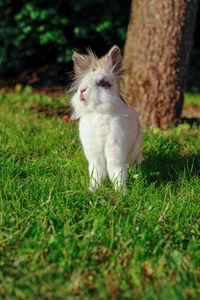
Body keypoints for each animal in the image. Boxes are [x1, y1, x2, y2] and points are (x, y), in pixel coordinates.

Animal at [70, 44, 142, 192]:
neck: (98, 112)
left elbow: (116, 171)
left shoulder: (115, 150)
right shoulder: (94, 153)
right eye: (83, 82)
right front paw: (93, 190)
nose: (82, 91)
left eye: (103, 83)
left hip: (136, 150)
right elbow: (97, 172)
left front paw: (121, 192)